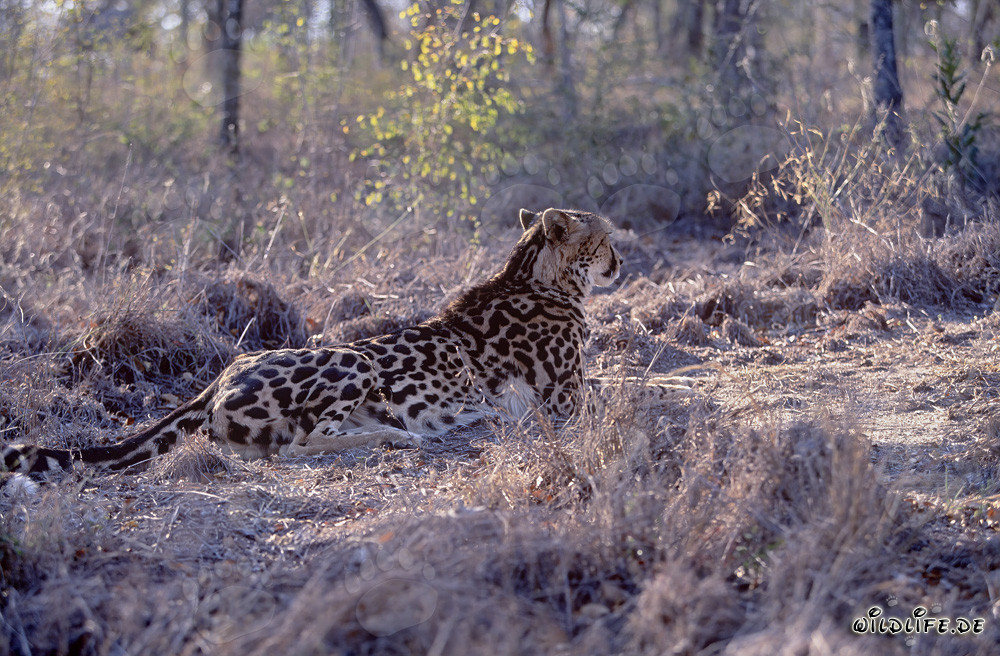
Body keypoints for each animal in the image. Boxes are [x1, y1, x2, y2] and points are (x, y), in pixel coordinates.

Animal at [3, 207, 623, 480]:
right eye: (607, 238)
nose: (621, 263)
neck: (535, 274)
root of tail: (220, 376)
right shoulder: (561, 402)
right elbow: (628, 390)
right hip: (352, 357)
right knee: (299, 445)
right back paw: (399, 437)